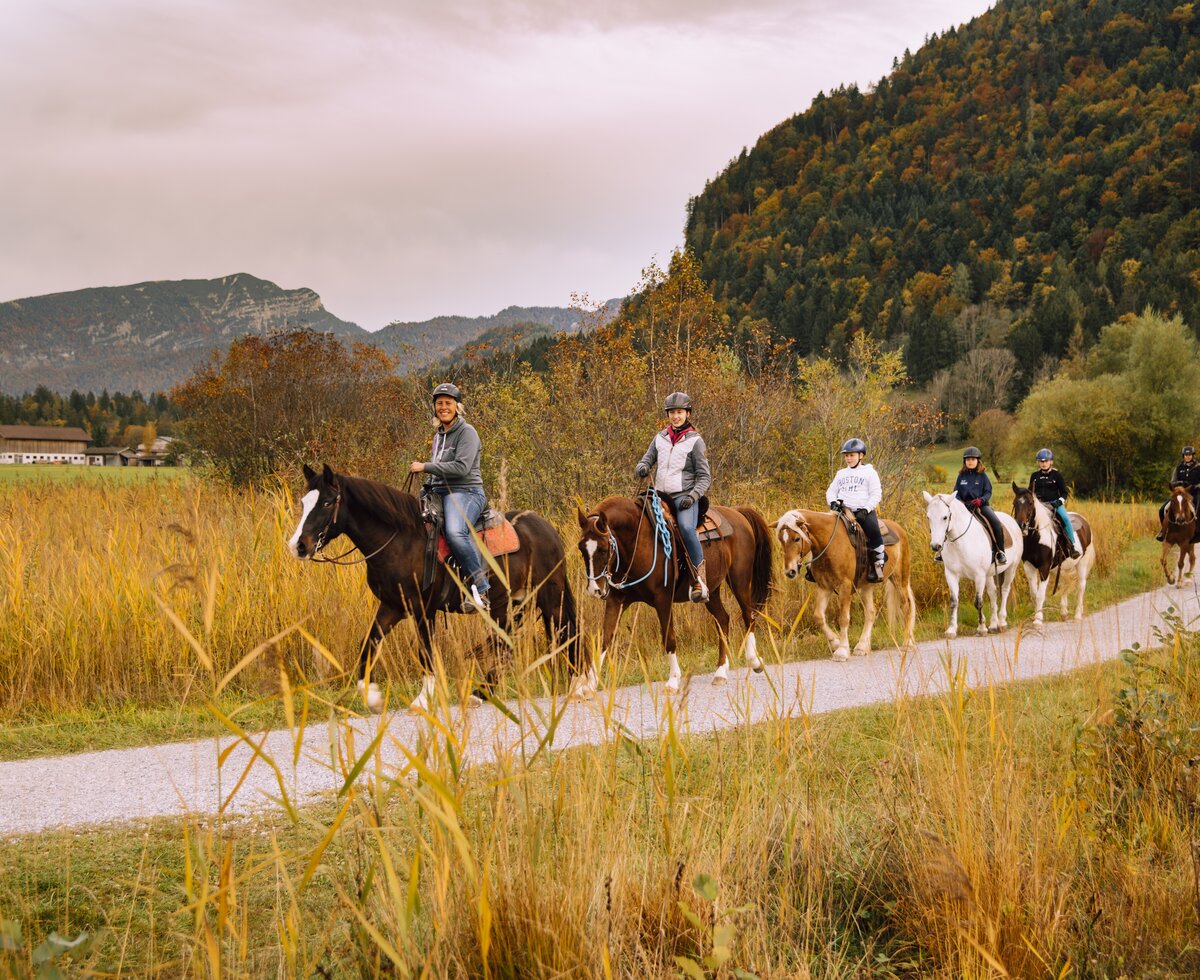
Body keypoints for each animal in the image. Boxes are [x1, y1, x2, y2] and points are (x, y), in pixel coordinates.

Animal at [285, 465, 576, 710]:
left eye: (326, 502)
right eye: (304, 502)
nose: (298, 545)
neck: (400, 540)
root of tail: (547, 530)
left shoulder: (424, 609)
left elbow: (425, 652)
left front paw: (423, 700)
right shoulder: (392, 606)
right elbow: (369, 643)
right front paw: (372, 696)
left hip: (550, 598)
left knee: (564, 632)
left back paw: (576, 685)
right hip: (507, 604)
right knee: (506, 642)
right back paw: (480, 692)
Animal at [573, 496, 777, 695]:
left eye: (603, 549)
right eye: (581, 549)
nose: (595, 589)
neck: (637, 542)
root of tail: (737, 513)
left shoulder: (663, 600)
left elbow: (668, 638)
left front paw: (673, 681)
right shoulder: (617, 600)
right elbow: (605, 639)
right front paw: (587, 685)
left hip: (739, 581)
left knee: (748, 616)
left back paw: (754, 661)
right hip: (712, 591)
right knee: (723, 619)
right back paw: (721, 671)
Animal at [772, 508, 912, 662]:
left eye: (797, 538)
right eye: (781, 539)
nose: (790, 571)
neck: (830, 543)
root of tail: (899, 529)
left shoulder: (845, 585)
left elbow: (844, 618)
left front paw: (842, 650)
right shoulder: (824, 587)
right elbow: (818, 616)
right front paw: (835, 643)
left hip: (900, 579)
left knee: (906, 606)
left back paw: (907, 643)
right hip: (867, 586)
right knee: (870, 612)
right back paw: (862, 647)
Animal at [916, 494, 1022, 638]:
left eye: (945, 517)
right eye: (928, 517)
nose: (935, 546)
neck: (960, 541)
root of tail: (1012, 521)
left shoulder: (979, 575)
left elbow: (978, 601)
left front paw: (981, 628)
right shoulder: (951, 574)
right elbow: (954, 601)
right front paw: (951, 630)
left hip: (1011, 568)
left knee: (1005, 590)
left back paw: (1002, 622)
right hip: (989, 574)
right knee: (993, 592)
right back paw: (994, 625)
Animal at [1008, 482, 1094, 628]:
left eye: (1030, 503)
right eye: (1015, 503)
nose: (1021, 525)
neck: (1036, 538)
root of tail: (1084, 521)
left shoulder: (1044, 567)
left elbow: (1040, 594)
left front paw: (1038, 619)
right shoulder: (1029, 566)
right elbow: (1034, 593)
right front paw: (1036, 616)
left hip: (1082, 564)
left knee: (1081, 586)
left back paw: (1077, 615)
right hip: (1062, 567)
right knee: (1065, 584)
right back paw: (1064, 613)